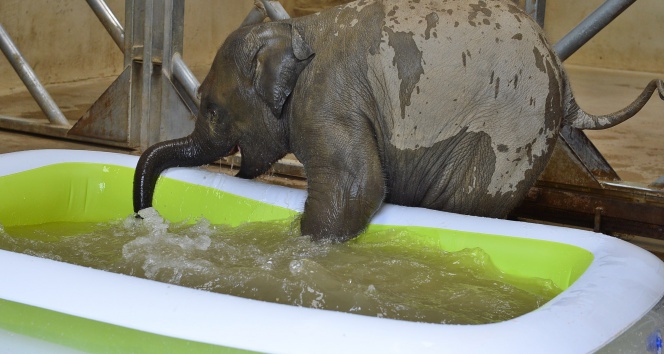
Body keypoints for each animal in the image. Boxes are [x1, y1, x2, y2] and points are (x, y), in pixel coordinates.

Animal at [132, 0, 660, 241]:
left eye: (211, 109)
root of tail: (566, 85)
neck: (296, 27)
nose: (143, 216)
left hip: (514, 135)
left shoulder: (327, 99)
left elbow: (356, 188)